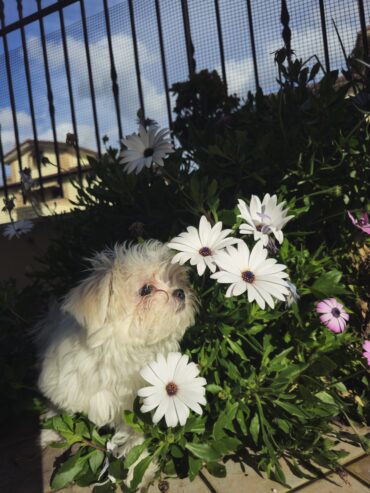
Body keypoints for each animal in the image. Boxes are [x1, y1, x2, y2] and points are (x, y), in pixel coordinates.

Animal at [37, 240, 195, 474]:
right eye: (146, 289)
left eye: (176, 278)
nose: (180, 292)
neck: (121, 352)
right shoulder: (64, 382)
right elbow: (62, 407)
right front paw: (51, 429)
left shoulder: (136, 403)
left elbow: (133, 429)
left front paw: (132, 454)